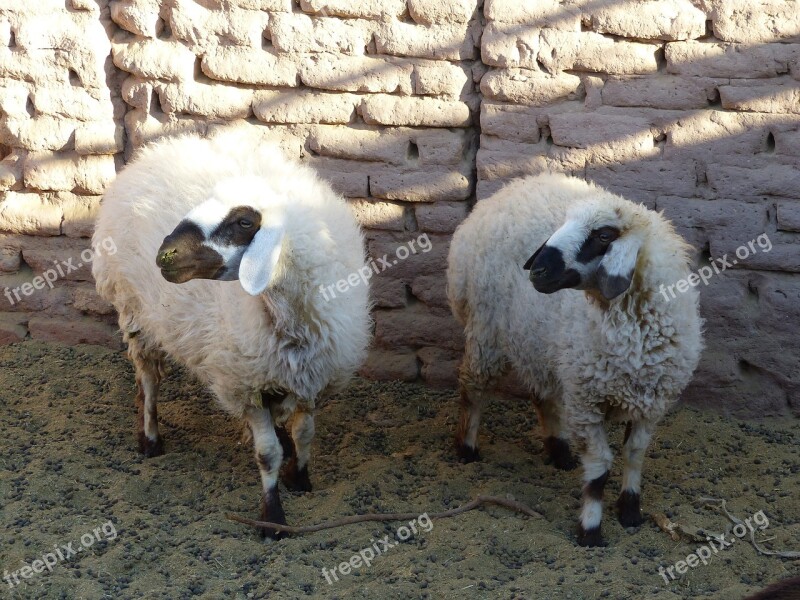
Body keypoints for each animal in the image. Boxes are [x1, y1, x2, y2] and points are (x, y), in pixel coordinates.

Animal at [92, 127, 374, 540]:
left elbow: (305, 433)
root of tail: (152, 154)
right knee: (148, 378)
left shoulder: (313, 376)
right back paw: (150, 437)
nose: (164, 256)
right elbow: (267, 454)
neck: (286, 316)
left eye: (244, 221)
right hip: (134, 313)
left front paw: (300, 477)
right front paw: (273, 517)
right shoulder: (246, 384)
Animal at [446, 172, 704, 548]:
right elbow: (599, 468)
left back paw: (559, 452)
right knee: (473, 388)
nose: (536, 270)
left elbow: (634, 454)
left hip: (539, 344)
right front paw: (591, 530)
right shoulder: (586, 401)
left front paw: (630, 511)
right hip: (486, 333)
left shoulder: (651, 402)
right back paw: (467, 449)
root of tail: (507, 191)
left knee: (542, 396)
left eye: (603, 235)